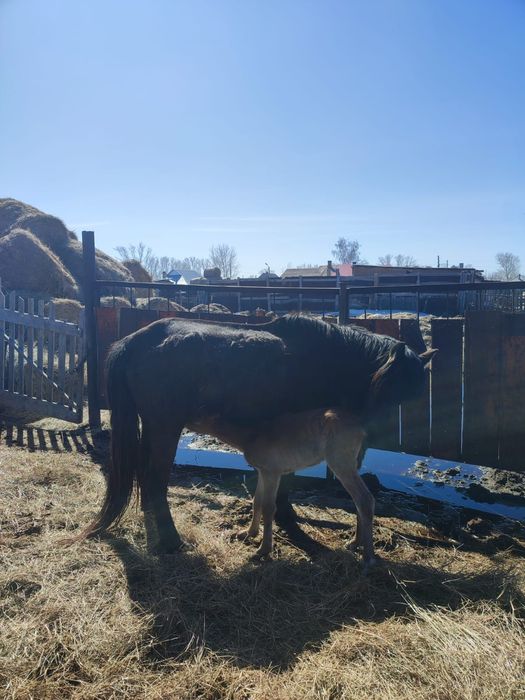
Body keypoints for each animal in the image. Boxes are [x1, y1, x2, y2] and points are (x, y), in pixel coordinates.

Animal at [79, 314, 436, 565]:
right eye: (387, 390)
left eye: (406, 397)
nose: (362, 440)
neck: (325, 357)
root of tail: (133, 342)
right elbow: (281, 489)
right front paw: (285, 525)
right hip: (165, 426)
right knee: (155, 480)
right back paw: (171, 540)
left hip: (153, 427)